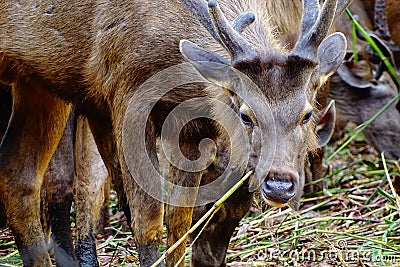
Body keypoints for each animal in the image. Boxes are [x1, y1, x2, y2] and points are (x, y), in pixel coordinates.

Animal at [0, 0, 350, 266]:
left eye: (306, 113)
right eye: (245, 115)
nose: (280, 184)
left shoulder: (190, 128)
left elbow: (179, 221)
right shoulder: (125, 95)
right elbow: (147, 220)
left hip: (36, 80)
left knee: (18, 174)